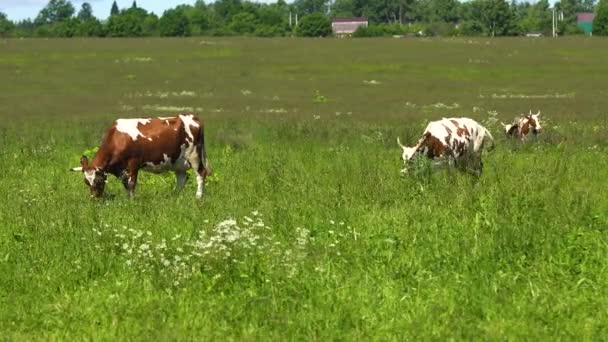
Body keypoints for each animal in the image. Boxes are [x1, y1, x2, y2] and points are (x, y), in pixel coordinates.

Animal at [70, 113, 209, 199]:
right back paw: (173, 196)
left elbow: (131, 183)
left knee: (201, 174)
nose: (95, 199)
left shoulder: (134, 162)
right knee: (182, 178)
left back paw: (198, 197)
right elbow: (125, 183)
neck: (117, 138)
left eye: (98, 181)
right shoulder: (121, 169)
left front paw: (132, 201)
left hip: (194, 155)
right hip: (177, 161)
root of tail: (192, 117)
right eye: (86, 182)